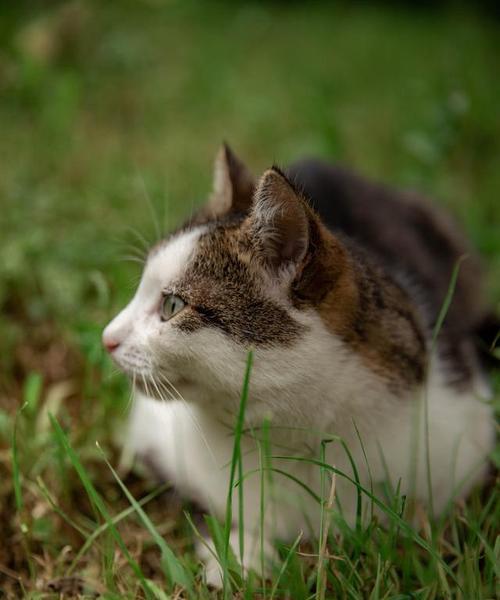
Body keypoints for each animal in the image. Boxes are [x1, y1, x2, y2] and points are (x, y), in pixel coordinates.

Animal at [101, 145, 496, 584]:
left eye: (172, 305)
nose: (108, 337)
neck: (290, 434)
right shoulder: (153, 438)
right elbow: (189, 499)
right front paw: (241, 553)